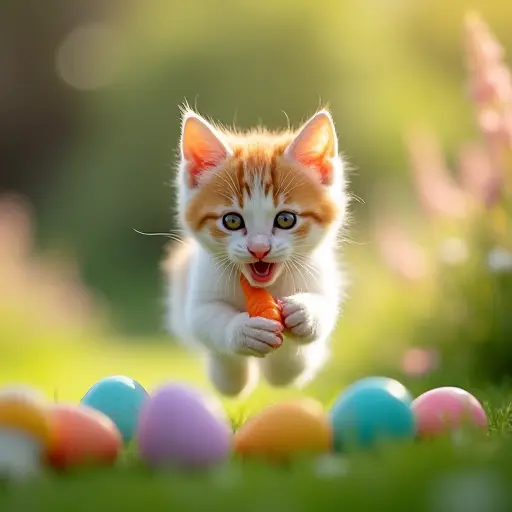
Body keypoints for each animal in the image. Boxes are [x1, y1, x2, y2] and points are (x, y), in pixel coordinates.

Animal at [162, 107, 350, 396]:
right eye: (232, 221)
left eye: (286, 219)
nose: (259, 248)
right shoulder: (200, 289)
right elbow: (204, 320)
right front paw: (242, 332)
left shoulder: (321, 274)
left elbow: (325, 309)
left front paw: (304, 314)